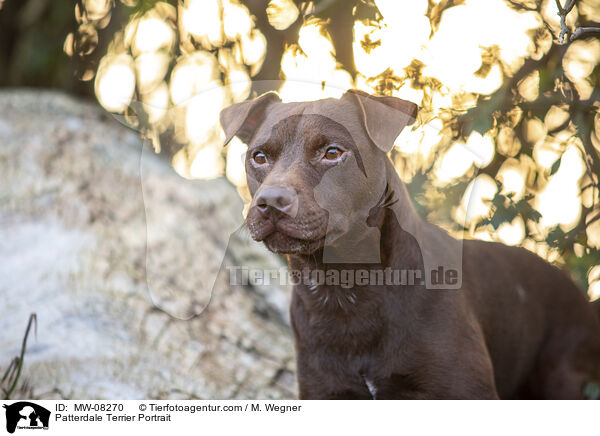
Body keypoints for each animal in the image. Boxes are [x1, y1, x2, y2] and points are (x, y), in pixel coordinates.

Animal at [219, 90, 600, 400]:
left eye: (332, 152)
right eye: (259, 157)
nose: (270, 201)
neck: (345, 288)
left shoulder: (463, 390)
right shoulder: (326, 391)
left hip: (562, 377)